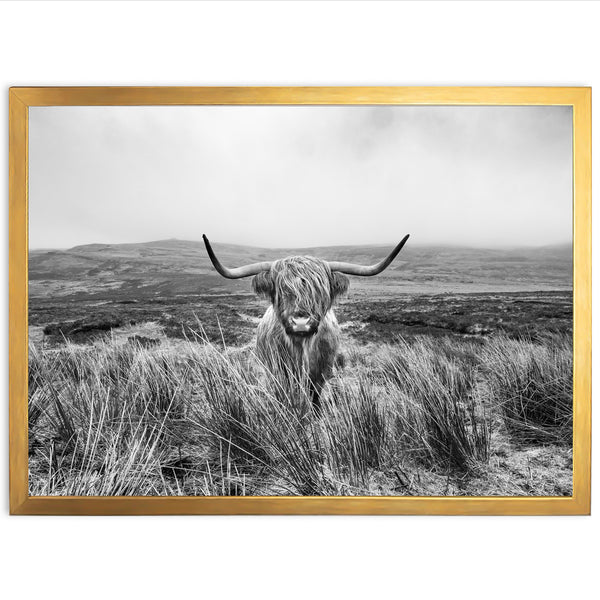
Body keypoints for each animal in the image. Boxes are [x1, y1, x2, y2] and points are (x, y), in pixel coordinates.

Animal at [202, 232, 408, 410]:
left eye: (319, 291)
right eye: (281, 290)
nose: (301, 322)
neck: (301, 348)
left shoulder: (321, 372)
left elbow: (314, 395)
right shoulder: (278, 372)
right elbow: (283, 395)